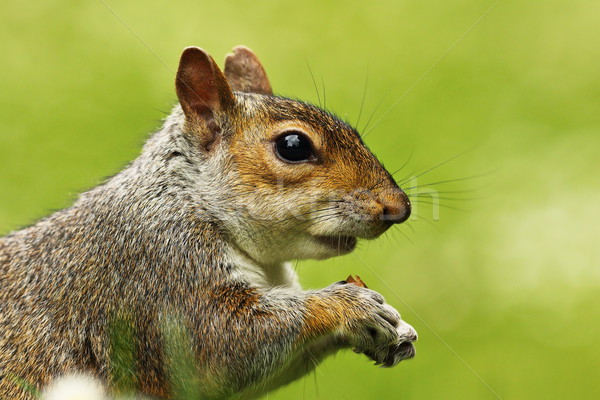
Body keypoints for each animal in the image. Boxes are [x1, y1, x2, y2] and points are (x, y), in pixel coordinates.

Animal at [0, 45, 418, 398]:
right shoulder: (161, 272)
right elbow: (222, 342)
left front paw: (390, 331)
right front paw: (350, 305)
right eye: (293, 145)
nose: (398, 208)